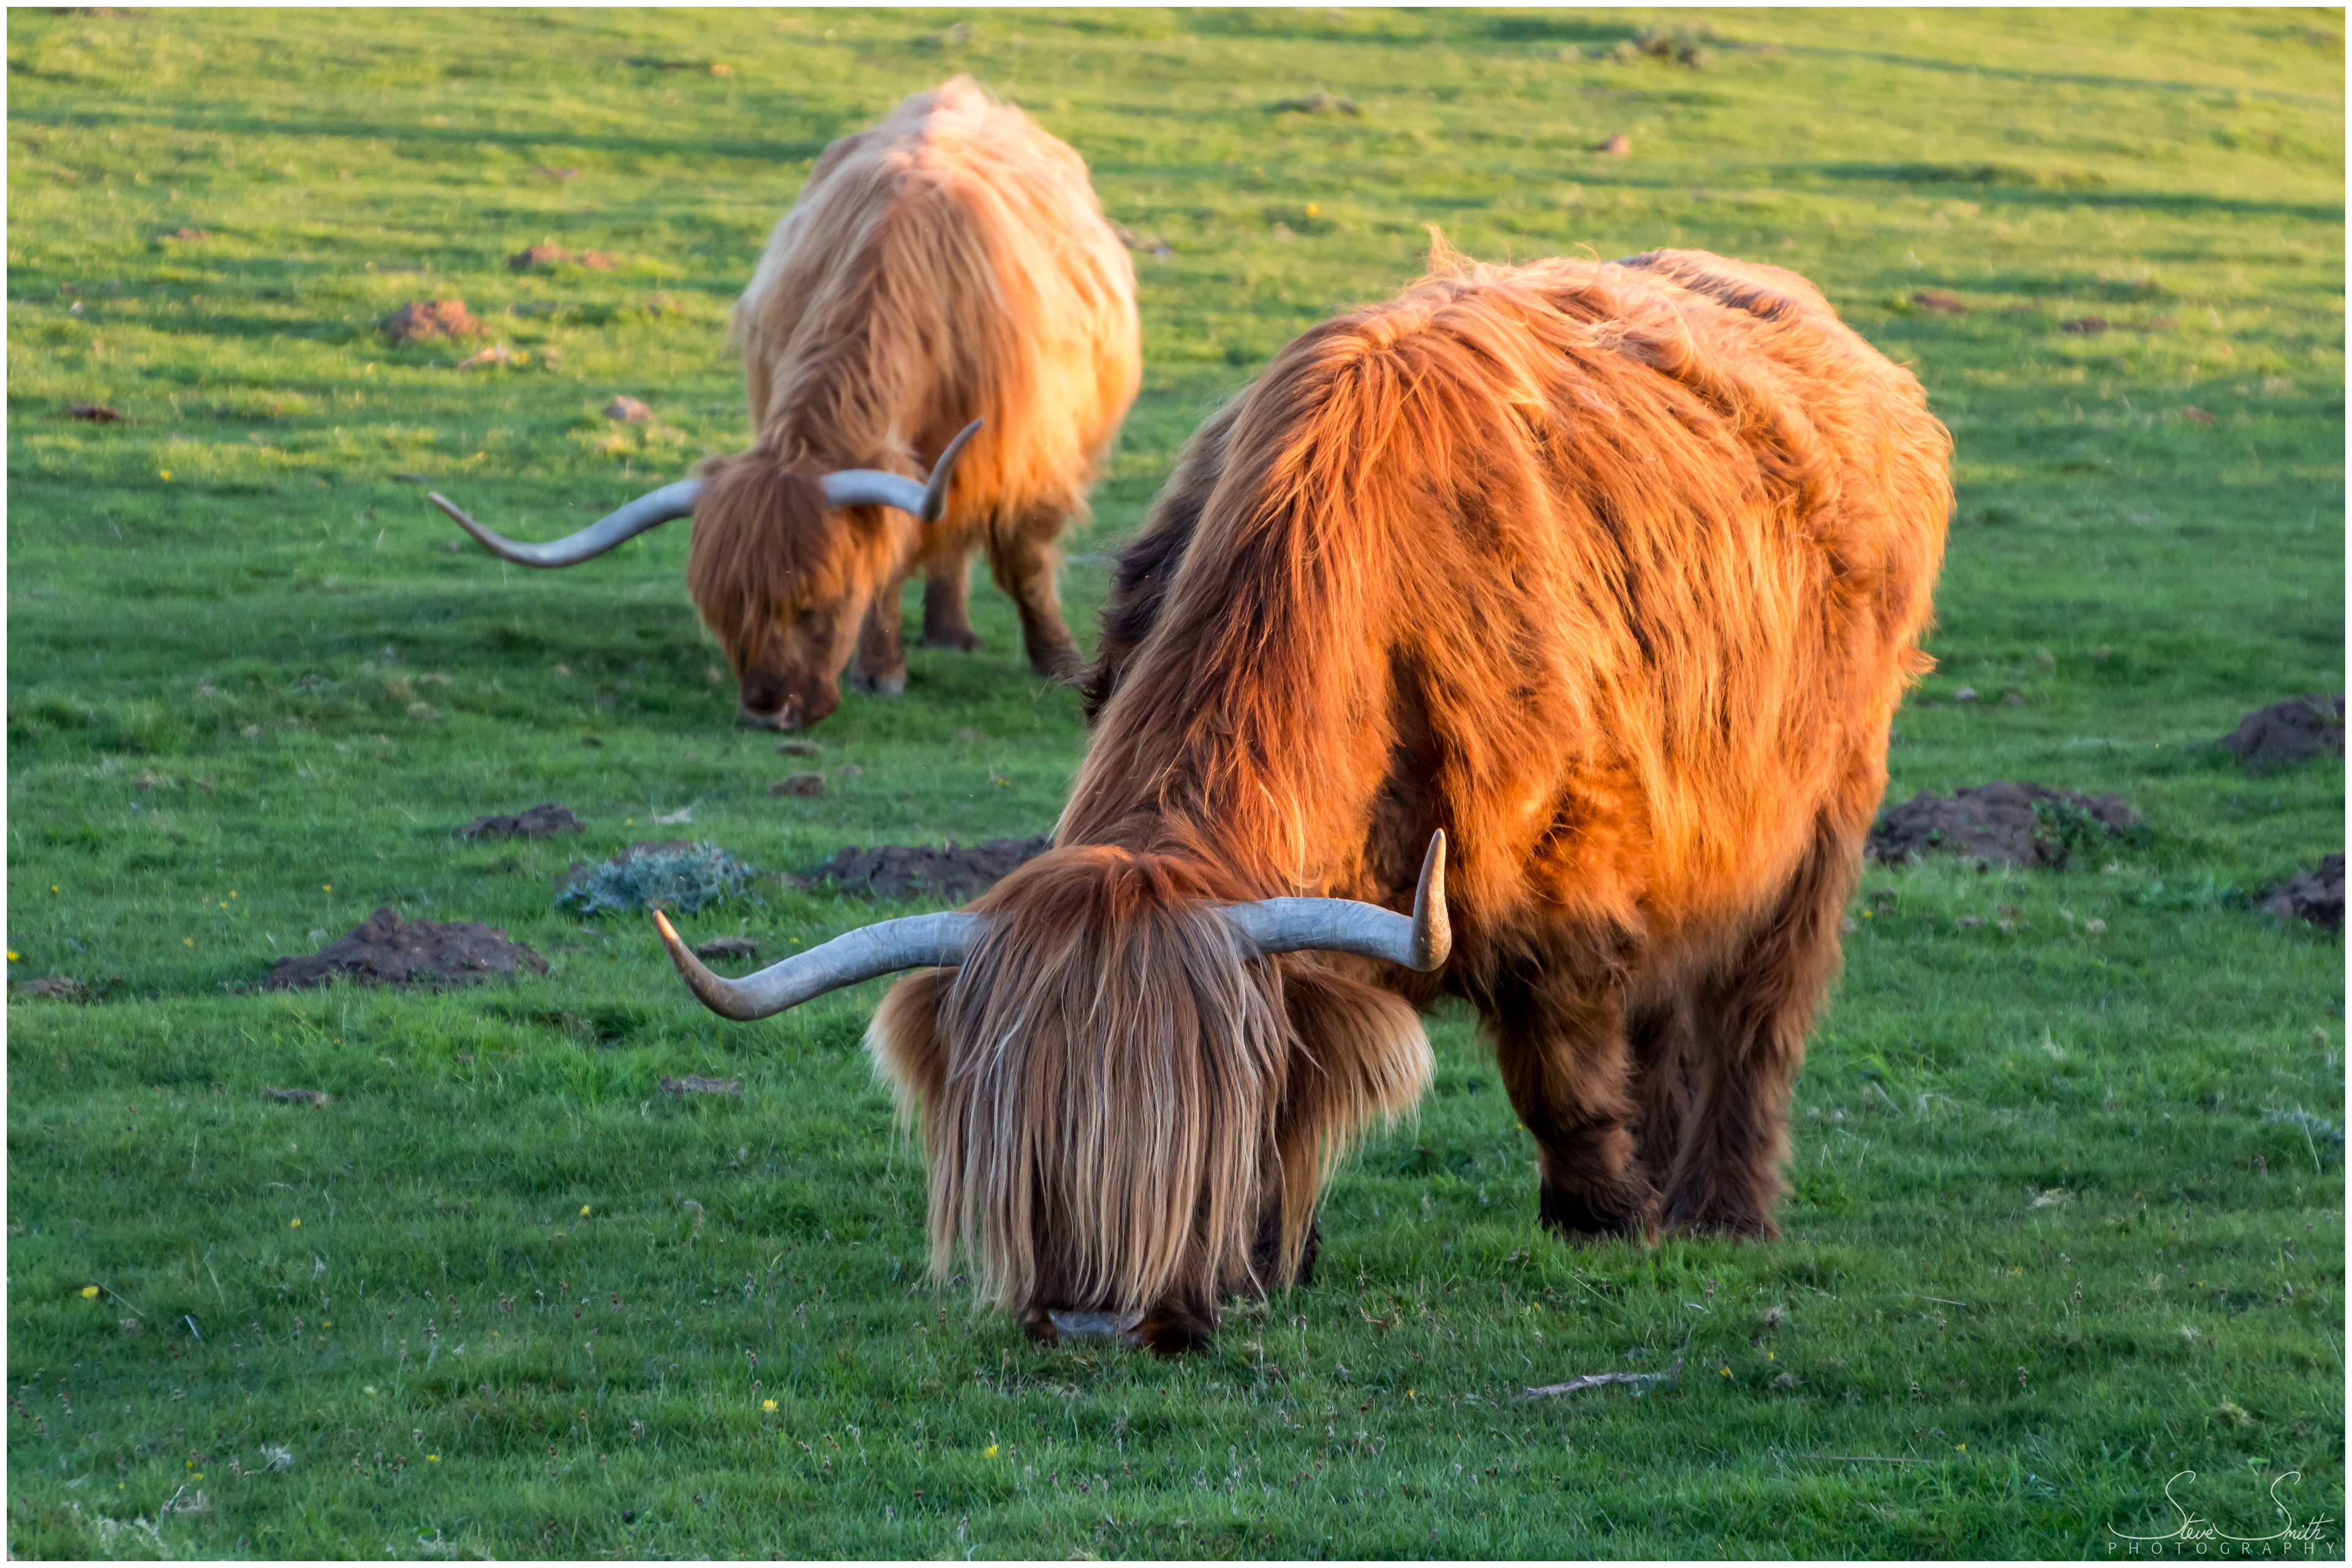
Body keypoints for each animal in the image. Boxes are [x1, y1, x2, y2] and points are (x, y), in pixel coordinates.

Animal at [442, 76, 1147, 728]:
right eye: (723, 614)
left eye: (818, 604)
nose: (767, 711)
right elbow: (892, 550)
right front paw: (882, 668)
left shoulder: (1030, 451)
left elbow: (1023, 559)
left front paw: (1056, 660)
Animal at [649, 246, 1947, 1354]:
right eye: (1030, 1133)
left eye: (1188, 1127)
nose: (1090, 1321)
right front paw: (1275, 1256)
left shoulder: (1577, 890)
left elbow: (1567, 1073)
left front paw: (1604, 1219)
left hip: (1817, 824)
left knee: (1752, 1017)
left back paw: (1722, 1209)